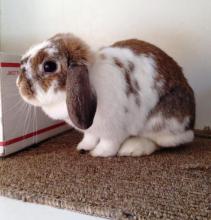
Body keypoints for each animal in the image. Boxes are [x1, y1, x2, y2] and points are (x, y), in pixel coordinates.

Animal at [16, 32, 196, 156]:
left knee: (162, 142)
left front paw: (99, 153)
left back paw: (131, 148)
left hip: (160, 121)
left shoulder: (113, 129)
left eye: (49, 66)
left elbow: (109, 143)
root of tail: (191, 124)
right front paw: (83, 147)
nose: (18, 83)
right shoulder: (90, 129)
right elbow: (89, 137)